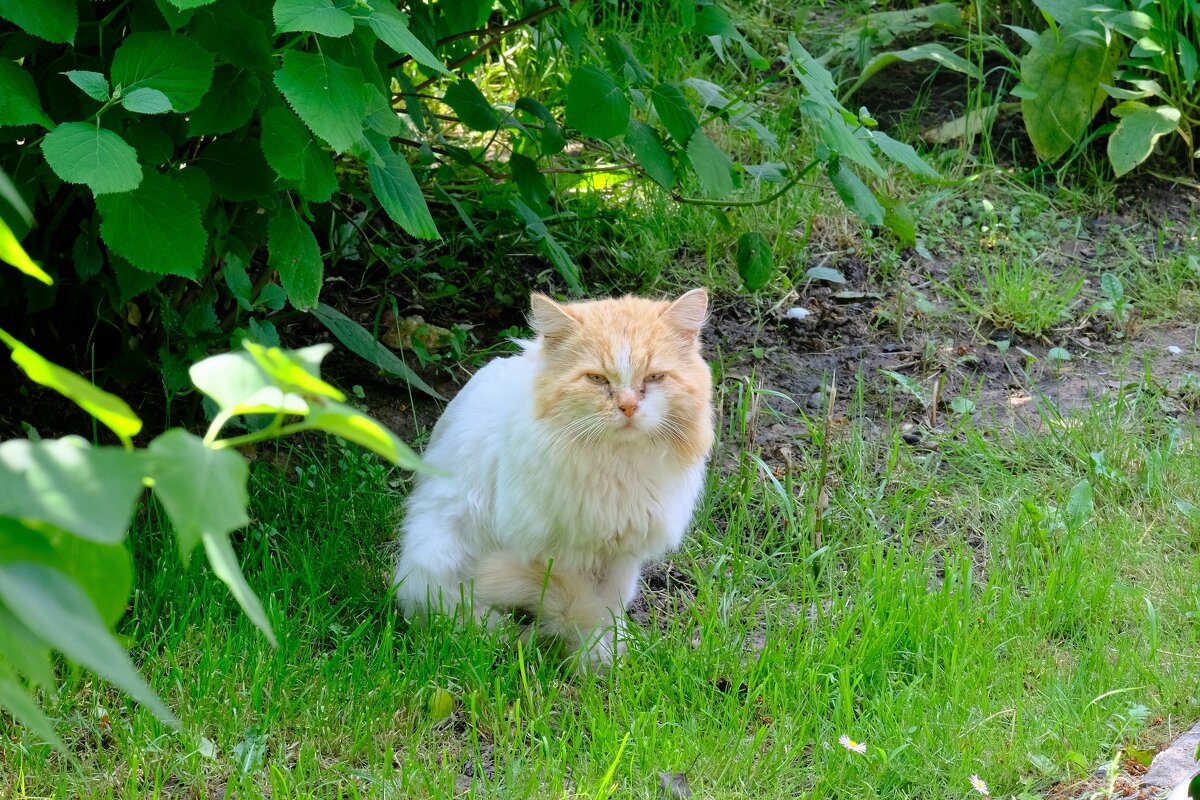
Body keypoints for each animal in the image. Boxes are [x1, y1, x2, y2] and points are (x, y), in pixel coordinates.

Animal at [393, 291, 710, 666]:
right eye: (596, 379)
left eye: (655, 377)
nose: (629, 407)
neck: (618, 467)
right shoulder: (558, 554)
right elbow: (580, 608)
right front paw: (592, 657)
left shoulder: (621, 556)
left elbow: (609, 609)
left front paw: (606, 657)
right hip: (439, 558)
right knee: (478, 624)